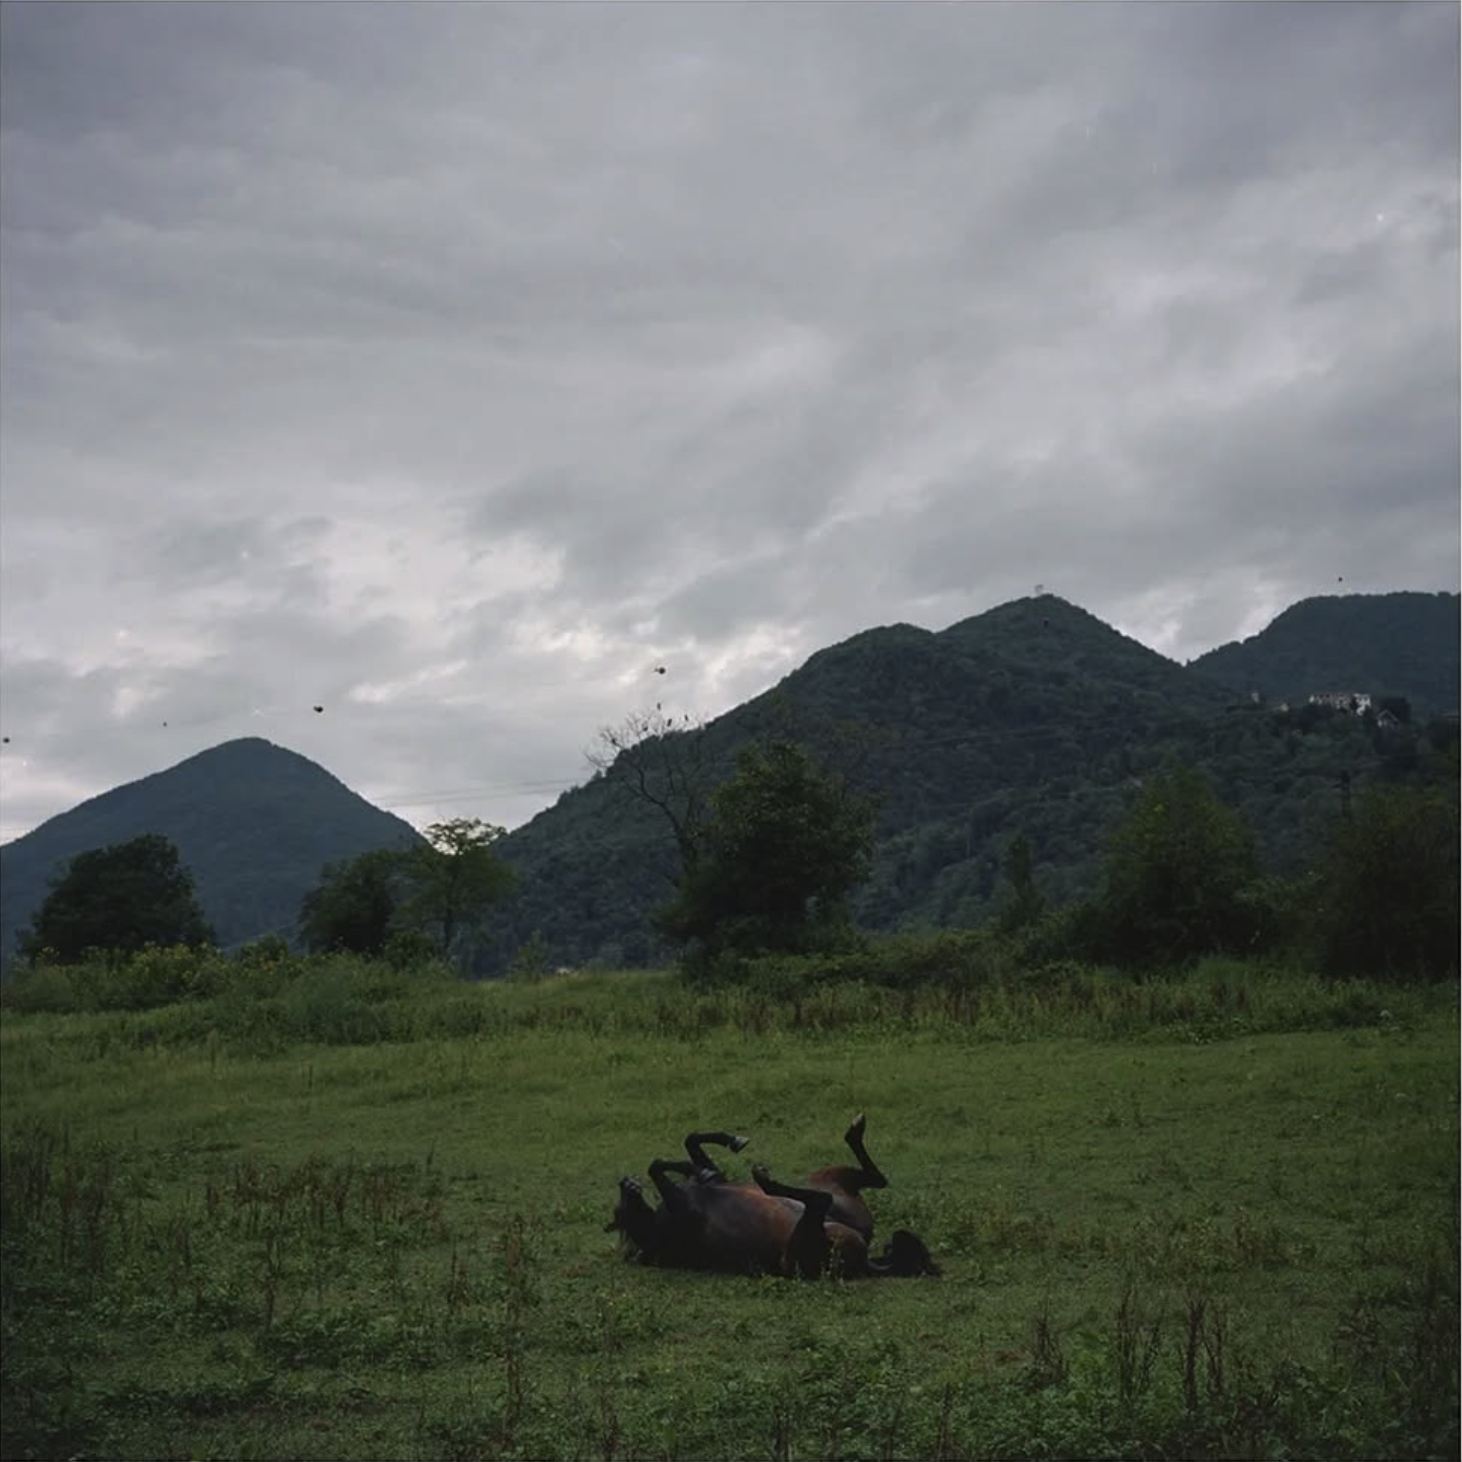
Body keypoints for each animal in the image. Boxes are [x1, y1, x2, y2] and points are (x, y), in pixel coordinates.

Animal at [607, 1115, 938, 1279]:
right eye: (621, 1207)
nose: (625, 1181)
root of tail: (865, 1262)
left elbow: (689, 1145)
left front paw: (728, 1146)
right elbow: (656, 1165)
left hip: (832, 1182)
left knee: (873, 1179)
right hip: (801, 1245)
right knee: (820, 1200)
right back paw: (765, 1178)